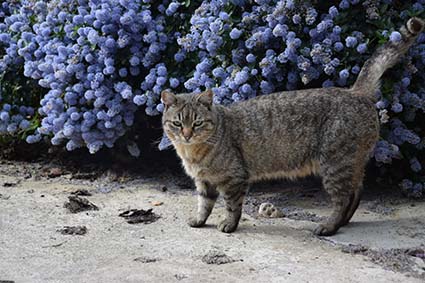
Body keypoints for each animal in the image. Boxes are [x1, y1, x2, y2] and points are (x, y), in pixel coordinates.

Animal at [161, 16, 422, 236]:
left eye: (197, 123)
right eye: (177, 123)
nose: (186, 134)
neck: (192, 153)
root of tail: (355, 91)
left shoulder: (234, 179)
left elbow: (232, 206)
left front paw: (228, 225)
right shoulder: (204, 182)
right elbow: (204, 204)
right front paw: (199, 220)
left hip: (335, 164)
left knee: (343, 198)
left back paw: (329, 226)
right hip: (352, 163)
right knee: (356, 193)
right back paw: (343, 223)